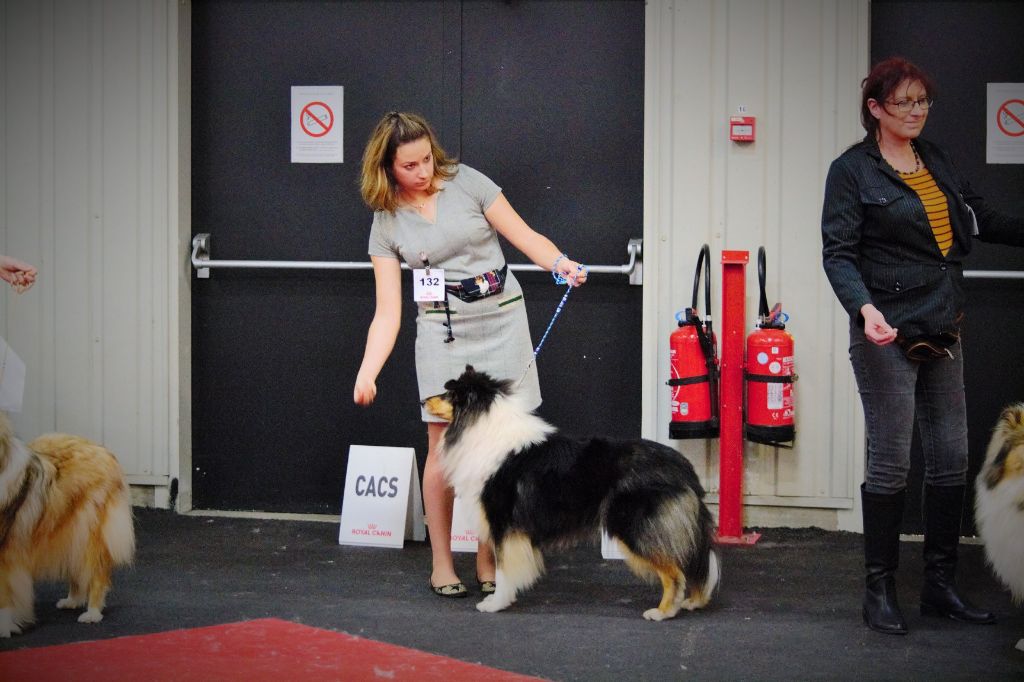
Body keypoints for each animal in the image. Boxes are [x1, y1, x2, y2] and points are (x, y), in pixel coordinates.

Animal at [0, 409, 135, 638]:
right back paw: (72, 600)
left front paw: (4, 627)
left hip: (88, 531)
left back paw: (92, 613)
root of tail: (102, 449)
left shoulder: (7, 554)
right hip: (69, 532)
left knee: (96, 573)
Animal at [423, 364, 720, 618]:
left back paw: (663, 612)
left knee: (675, 572)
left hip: (634, 525)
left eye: (449, 393)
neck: (479, 425)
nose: (423, 401)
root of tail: (682, 466)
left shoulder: (504, 524)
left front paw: (495, 603)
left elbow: (504, 570)